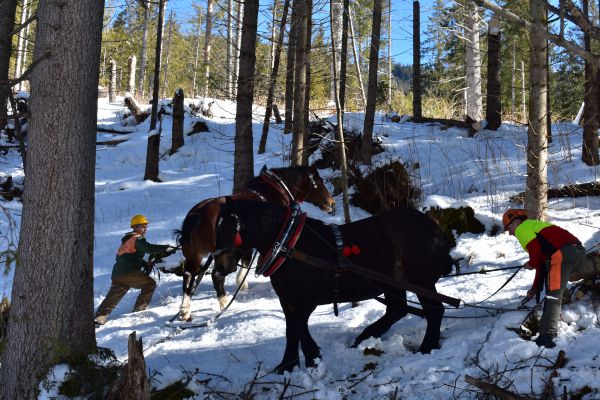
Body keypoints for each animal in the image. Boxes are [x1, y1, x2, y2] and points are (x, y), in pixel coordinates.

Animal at [175, 165, 338, 318]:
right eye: (319, 181)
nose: (332, 204)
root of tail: (198, 213)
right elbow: (247, 263)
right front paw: (242, 284)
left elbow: (246, 262)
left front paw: (242, 284)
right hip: (223, 255)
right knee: (217, 276)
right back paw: (225, 304)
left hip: (195, 255)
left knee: (188, 276)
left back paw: (185, 311)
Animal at [213, 198, 452, 374]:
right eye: (217, 228)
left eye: (228, 228)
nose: (219, 268)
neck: (290, 246)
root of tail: (436, 230)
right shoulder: (288, 300)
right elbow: (293, 329)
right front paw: (293, 363)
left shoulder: (306, 300)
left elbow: (297, 327)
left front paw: (307, 360)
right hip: (391, 283)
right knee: (397, 309)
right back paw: (364, 338)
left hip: (421, 281)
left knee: (434, 311)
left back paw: (427, 347)